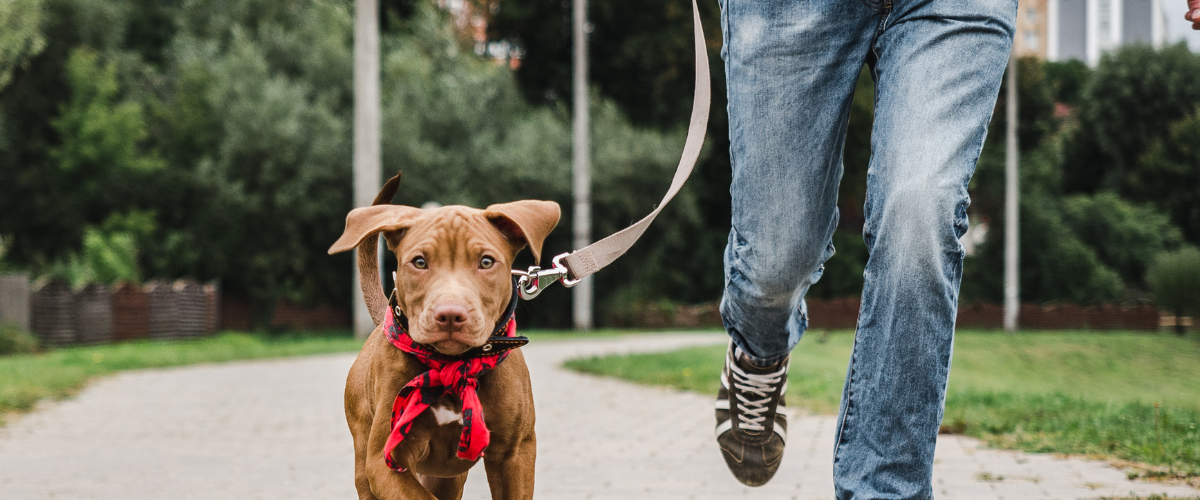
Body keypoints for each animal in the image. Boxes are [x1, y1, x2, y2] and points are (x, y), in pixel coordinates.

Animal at [328, 176, 561, 498]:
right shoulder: (385, 461)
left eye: (486, 262)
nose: (450, 314)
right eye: (419, 262)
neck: (454, 365)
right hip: (365, 457)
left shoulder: (515, 455)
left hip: (448, 477)